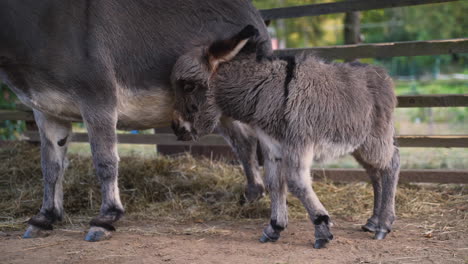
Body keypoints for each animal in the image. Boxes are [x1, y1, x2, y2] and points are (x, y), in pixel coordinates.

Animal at [170, 25, 400, 249]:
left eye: (188, 86)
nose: (177, 129)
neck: (267, 91)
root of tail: (382, 74)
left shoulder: (298, 143)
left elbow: (296, 182)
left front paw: (321, 227)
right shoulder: (273, 147)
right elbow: (274, 183)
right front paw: (275, 227)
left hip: (374, 140)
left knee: (391, 163)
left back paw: (383, 225)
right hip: (359, 144)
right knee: (375, 172)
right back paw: (373, 222)